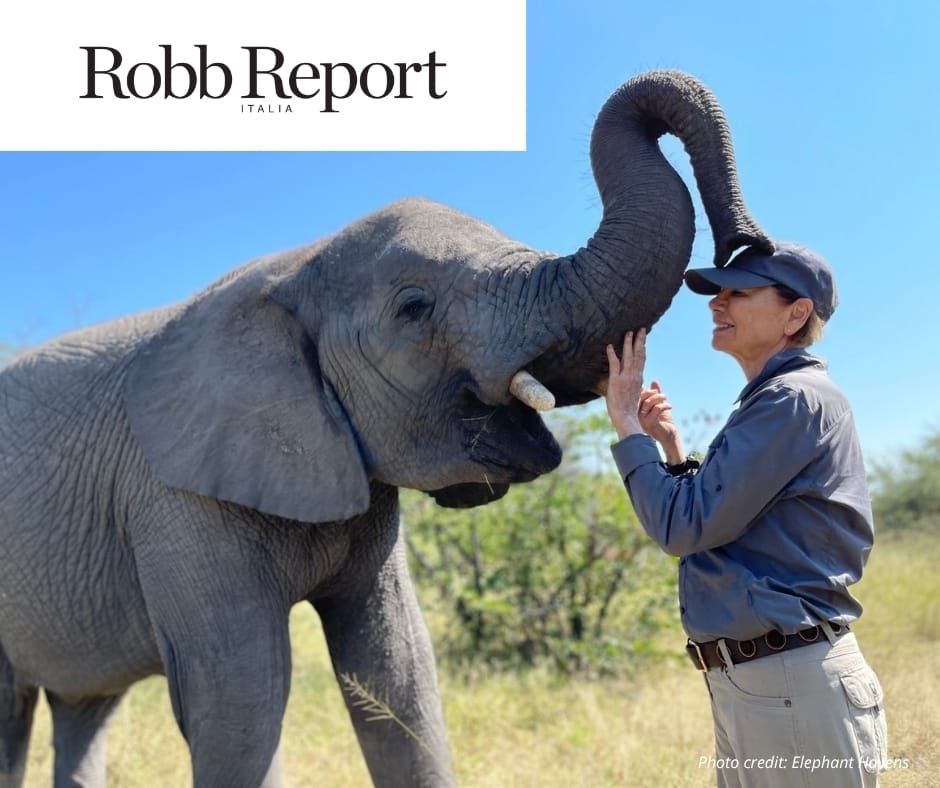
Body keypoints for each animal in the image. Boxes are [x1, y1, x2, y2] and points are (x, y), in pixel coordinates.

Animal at [0, 70, 770, 787]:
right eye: (414, 308)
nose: (743, 243)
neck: (291, 268)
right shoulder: (173, 498)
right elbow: (242, 699)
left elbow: (399, 672)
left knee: (84, 707)